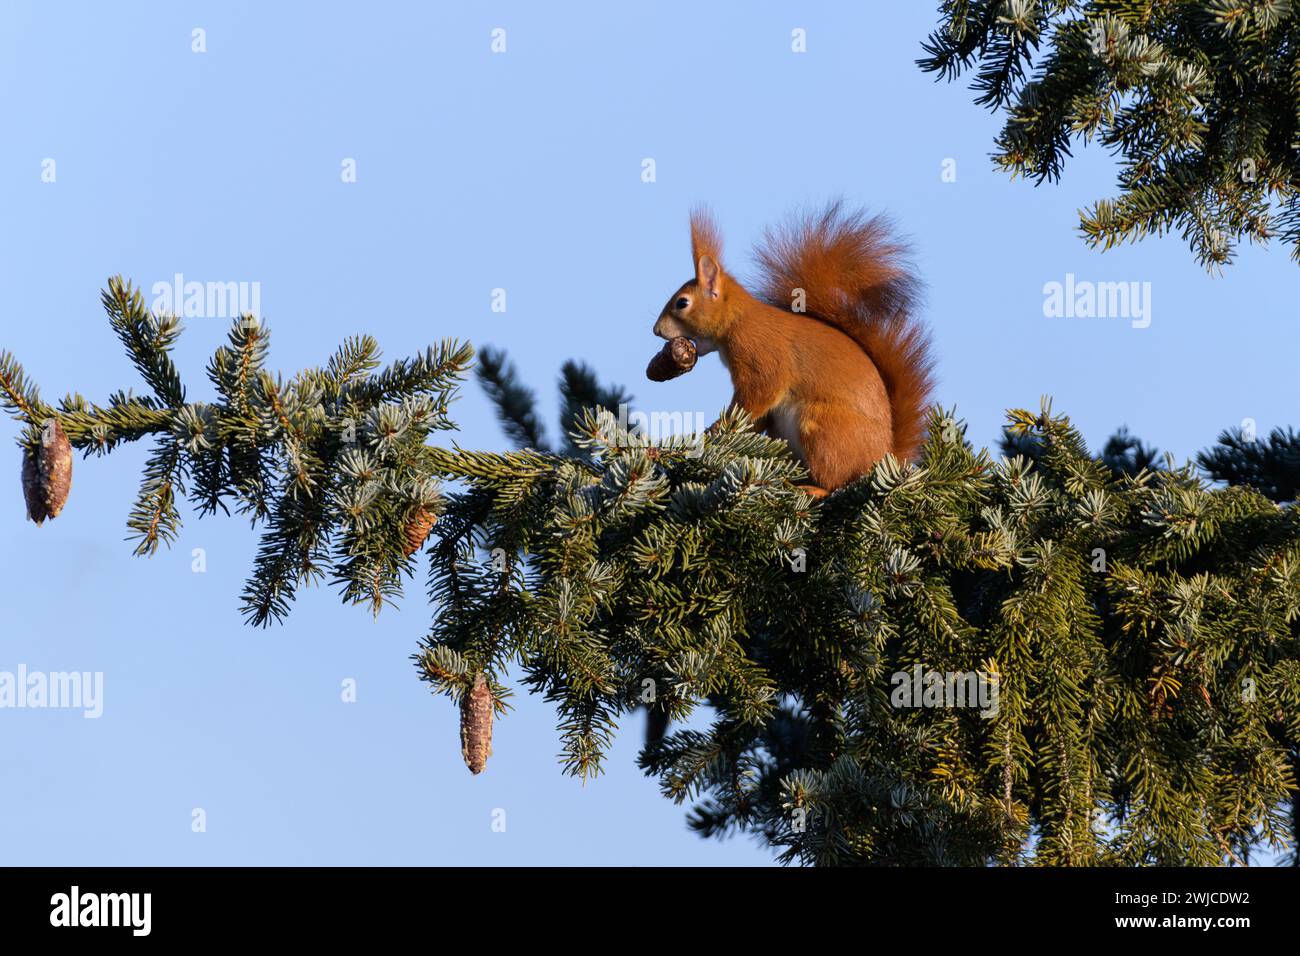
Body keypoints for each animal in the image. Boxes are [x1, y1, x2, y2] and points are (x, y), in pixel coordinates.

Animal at [655, 204, 930, 502]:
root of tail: (883, 458)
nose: (656, 330)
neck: (738, 320)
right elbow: (757, 416)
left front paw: (722, 426)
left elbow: (758, 396)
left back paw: (814, 489)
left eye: (682, 303)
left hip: (822, 428)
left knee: (837, 482)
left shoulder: (761, 357)